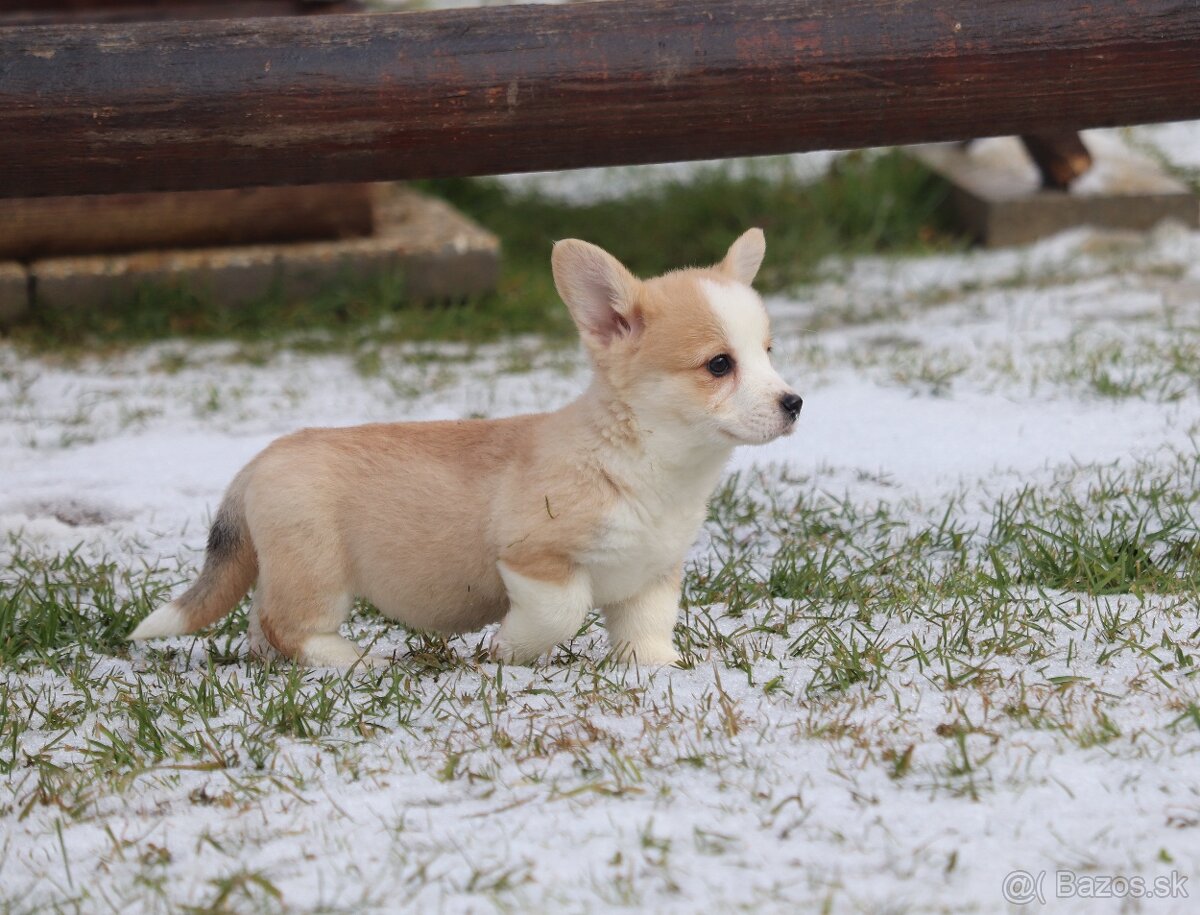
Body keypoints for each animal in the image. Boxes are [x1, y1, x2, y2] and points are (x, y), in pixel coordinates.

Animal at [131, 229, 801, 662]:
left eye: (768, 353)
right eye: (719, 365)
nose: (794, 404)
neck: (650, 461)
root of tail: (254, 464)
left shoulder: (652, 576)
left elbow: (648, 632)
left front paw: (657, 673)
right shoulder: (536, 561)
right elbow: (560, 614)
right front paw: (509, 650)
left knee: (261, 622)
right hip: (317, 571)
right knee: (289, 624)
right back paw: (350, 660)